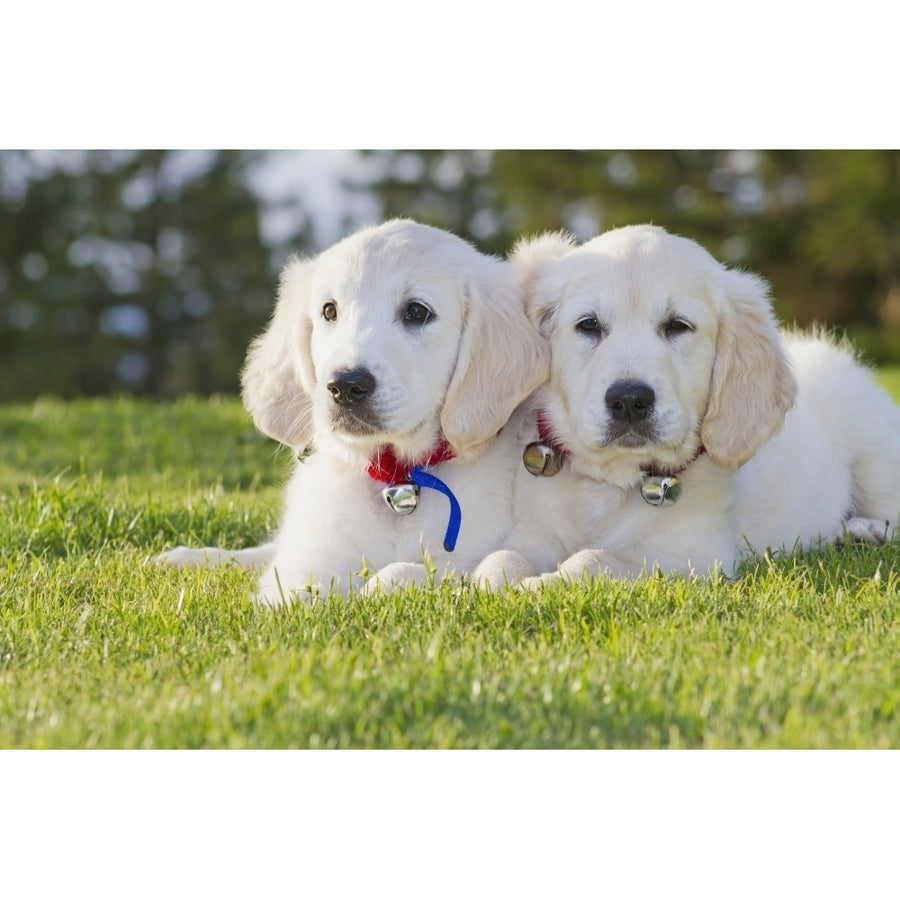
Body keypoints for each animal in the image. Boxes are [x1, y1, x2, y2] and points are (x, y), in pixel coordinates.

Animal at [165, 218, 552, 604]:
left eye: (417, 311)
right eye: (329, 311)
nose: (345, 387)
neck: (400, 483)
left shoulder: (476, 552)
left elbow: (416, 572)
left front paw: (378, 587)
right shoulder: (309, 561)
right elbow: (299, 591)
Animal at [474, 227, 896, 592]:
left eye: (678, 326)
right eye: (589, 324)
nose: (629, 401)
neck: (612, 485)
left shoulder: (693, 556)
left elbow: (597, 559)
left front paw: (543, 584)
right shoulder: (534, 532)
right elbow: (501, 558)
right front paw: (491, 585)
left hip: (874, 451)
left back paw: (867, 531)